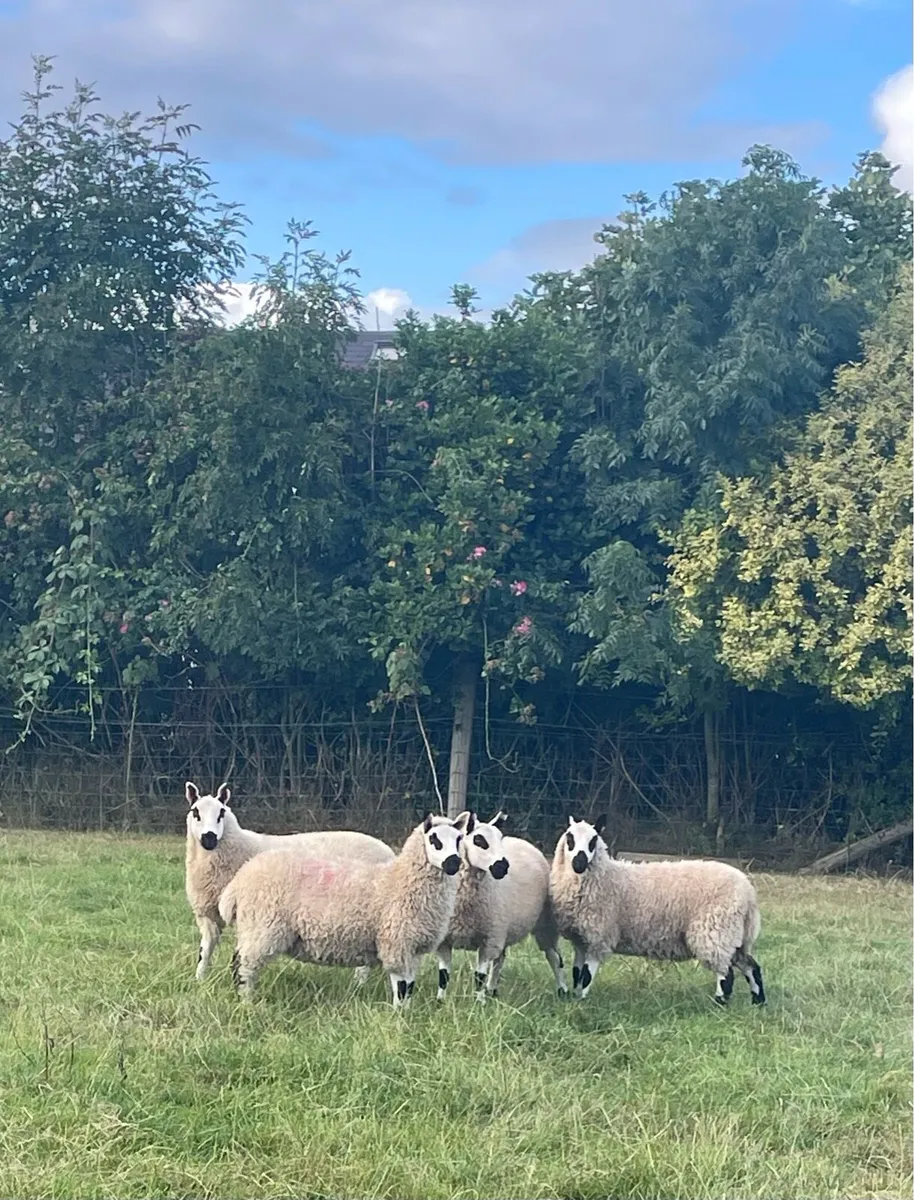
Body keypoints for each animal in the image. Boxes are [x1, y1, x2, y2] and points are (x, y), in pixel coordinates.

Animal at [184, 781, 395, 982]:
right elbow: (205, 950)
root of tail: (389, 853)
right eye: (195, 812)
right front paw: (200, 980)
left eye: (221, 813)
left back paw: (359, 982)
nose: (209, 838)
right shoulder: (207, 914)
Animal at [217, 812, 471, 1007]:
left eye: (459, 839)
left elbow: (409, 986)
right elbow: (400, 986)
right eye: (434, 840)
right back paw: (247, 1002)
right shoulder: (396, 943)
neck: (399, 881)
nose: (453, 863)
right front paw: (399, 1016)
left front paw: (407, 1011)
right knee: (242, 965)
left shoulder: (413, 948)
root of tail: (240, 878)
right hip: (262, 927)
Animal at [433, 811, 568, 1001]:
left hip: (544, 924)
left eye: (499, 838)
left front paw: (478, 1002)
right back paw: (492, 990)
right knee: (500, 959)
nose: (502, 866)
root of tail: (520, 841)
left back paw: (563, 990)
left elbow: (479, 976)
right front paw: (440, 1000)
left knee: (554, 957)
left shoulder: (488, 940)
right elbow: (444, 975)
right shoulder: (444, 941)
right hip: (504, 929)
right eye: (479, 840)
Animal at [549, 815, 766, 1006]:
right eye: (569, 838)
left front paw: (582, 1002)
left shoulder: (599, 937)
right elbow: (577, 973)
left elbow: (586, 975)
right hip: (734, 937)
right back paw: (758, 1002)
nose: (579, 863)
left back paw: (719, 1005)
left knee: (726, 974)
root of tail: (748, 892)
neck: (606, 876)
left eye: (593, 840)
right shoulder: (580, 940)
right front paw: (575, 998)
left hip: (715, 930)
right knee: (751, 966)